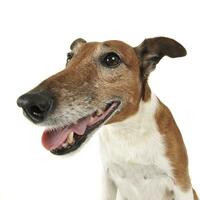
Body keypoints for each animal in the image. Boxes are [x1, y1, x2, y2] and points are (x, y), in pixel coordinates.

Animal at [17, 36, 198, 199]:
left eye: (111, 59)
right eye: (69, 57)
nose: (27, 103)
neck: (127, 130)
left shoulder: (182, 184)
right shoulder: (108, 178)